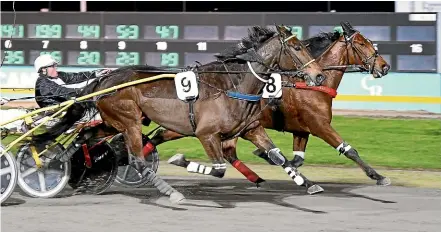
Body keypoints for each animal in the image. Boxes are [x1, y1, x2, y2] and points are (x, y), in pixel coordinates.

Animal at [33, 25, 326, 201]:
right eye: (298, 47)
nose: (319, 75)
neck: (232, 85)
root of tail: (105, 80)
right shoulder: (207, 134)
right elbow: (218, 170)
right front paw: (179, 160)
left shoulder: (251, 129)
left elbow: (278, 156)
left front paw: (309, 183)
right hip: (129, 122)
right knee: (137, 159)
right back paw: (170, 191)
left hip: (116, 122)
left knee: (87, 135)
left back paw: (59, 160)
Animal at [149, 21, 392, 189]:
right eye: (361, 43)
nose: (384, 66)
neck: (309, 85)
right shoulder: (319, 125)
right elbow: (349, 150)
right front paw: (378, 176)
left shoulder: (301, 129)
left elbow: (295, 159)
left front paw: (270, 158)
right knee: (161, 136)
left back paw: (257, 178)